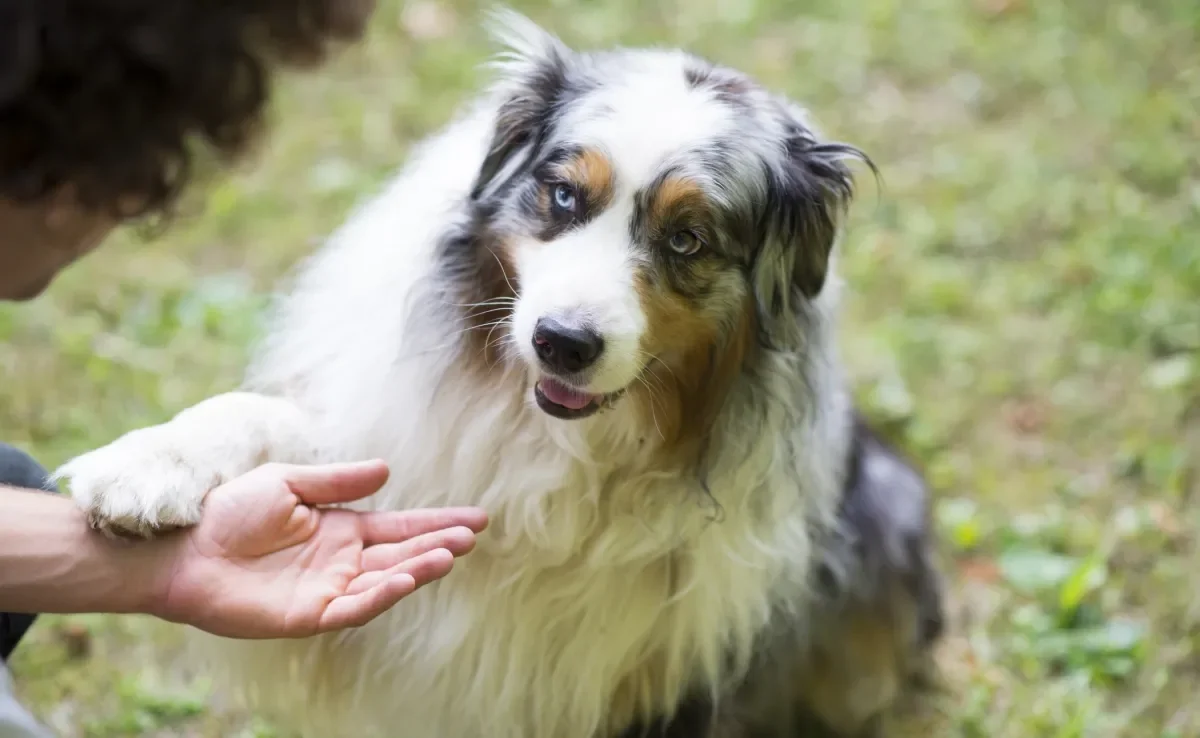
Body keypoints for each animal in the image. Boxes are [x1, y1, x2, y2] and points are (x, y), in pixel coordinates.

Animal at [54, 11, 945, 738]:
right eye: (563, 196)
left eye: (687, 238)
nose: (562, 344)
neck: (552, 439)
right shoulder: (403, 446)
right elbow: (253, 415)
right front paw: (146, 468)